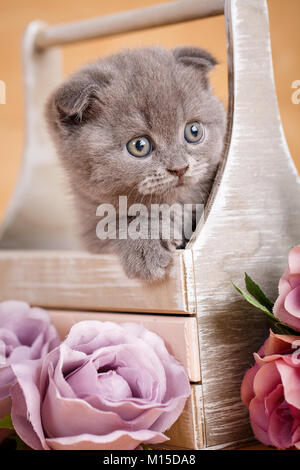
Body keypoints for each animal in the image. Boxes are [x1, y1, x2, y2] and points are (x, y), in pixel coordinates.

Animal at [46, 46, 225, 280]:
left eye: (193, 131)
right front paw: (145, 246)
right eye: (139, 146)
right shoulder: (90, 230)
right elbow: (114, 224)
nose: (179, 168)